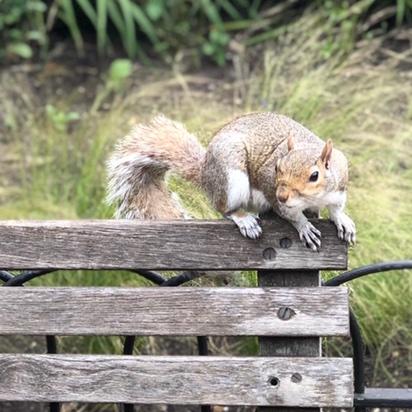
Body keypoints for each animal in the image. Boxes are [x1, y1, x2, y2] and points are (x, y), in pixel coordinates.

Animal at [108, 111, 356, 251]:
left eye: (314, 176)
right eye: (277, 168)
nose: (282, 195)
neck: (313, 198)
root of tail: (206, 172)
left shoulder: (339, 188)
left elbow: (336, 208)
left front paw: (342, 220)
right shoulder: (273, 192)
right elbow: (291, 215)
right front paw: (304, 226)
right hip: (231, 178)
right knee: (223, 208)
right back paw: (244, 219)